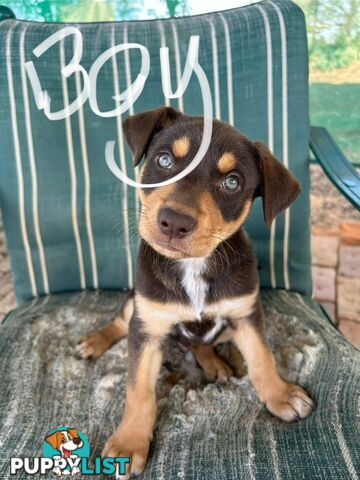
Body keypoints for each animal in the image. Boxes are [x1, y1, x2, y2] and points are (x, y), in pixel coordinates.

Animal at [76, 107, 316, 478]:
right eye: (163, 160)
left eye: (232, 182)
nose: (174, 222)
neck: (193, 266)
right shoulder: (147, 326)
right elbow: (139, 389)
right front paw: (130, 443)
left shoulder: (246, 314)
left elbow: (261, 359)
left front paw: (280, 395)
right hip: (136, 304)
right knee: (120, 320)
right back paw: (95, 341)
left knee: (202, 342)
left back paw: (213, 363)